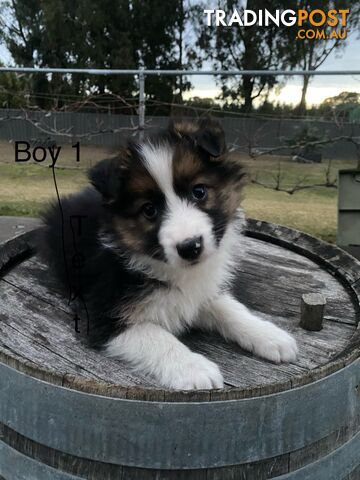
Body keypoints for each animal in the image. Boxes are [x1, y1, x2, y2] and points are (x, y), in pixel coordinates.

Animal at [40, 117, 296, 390]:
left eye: (199, 192)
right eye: (149, 210)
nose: (191, 246)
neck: (173, 269)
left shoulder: (201, 290)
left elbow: (229, 308)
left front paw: (269, 335)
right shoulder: (103, 314)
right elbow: (156, 336)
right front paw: (194, 369)